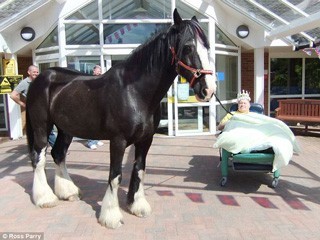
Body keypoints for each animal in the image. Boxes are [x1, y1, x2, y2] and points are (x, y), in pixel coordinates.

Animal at [26, 8, 216, 228]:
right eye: (188, 47)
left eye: (207, 46)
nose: (208, 89)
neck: (134, 91)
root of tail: (41, 77)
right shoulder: (118, 141)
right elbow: (115, 175)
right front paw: (111, 216)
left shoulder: (146, 140)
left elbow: (140, 170)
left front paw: (137, 205)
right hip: (42, 127)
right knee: (39, 157)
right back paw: (45, 198)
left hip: (66, 129)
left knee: (58, 154)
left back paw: (68, 192)